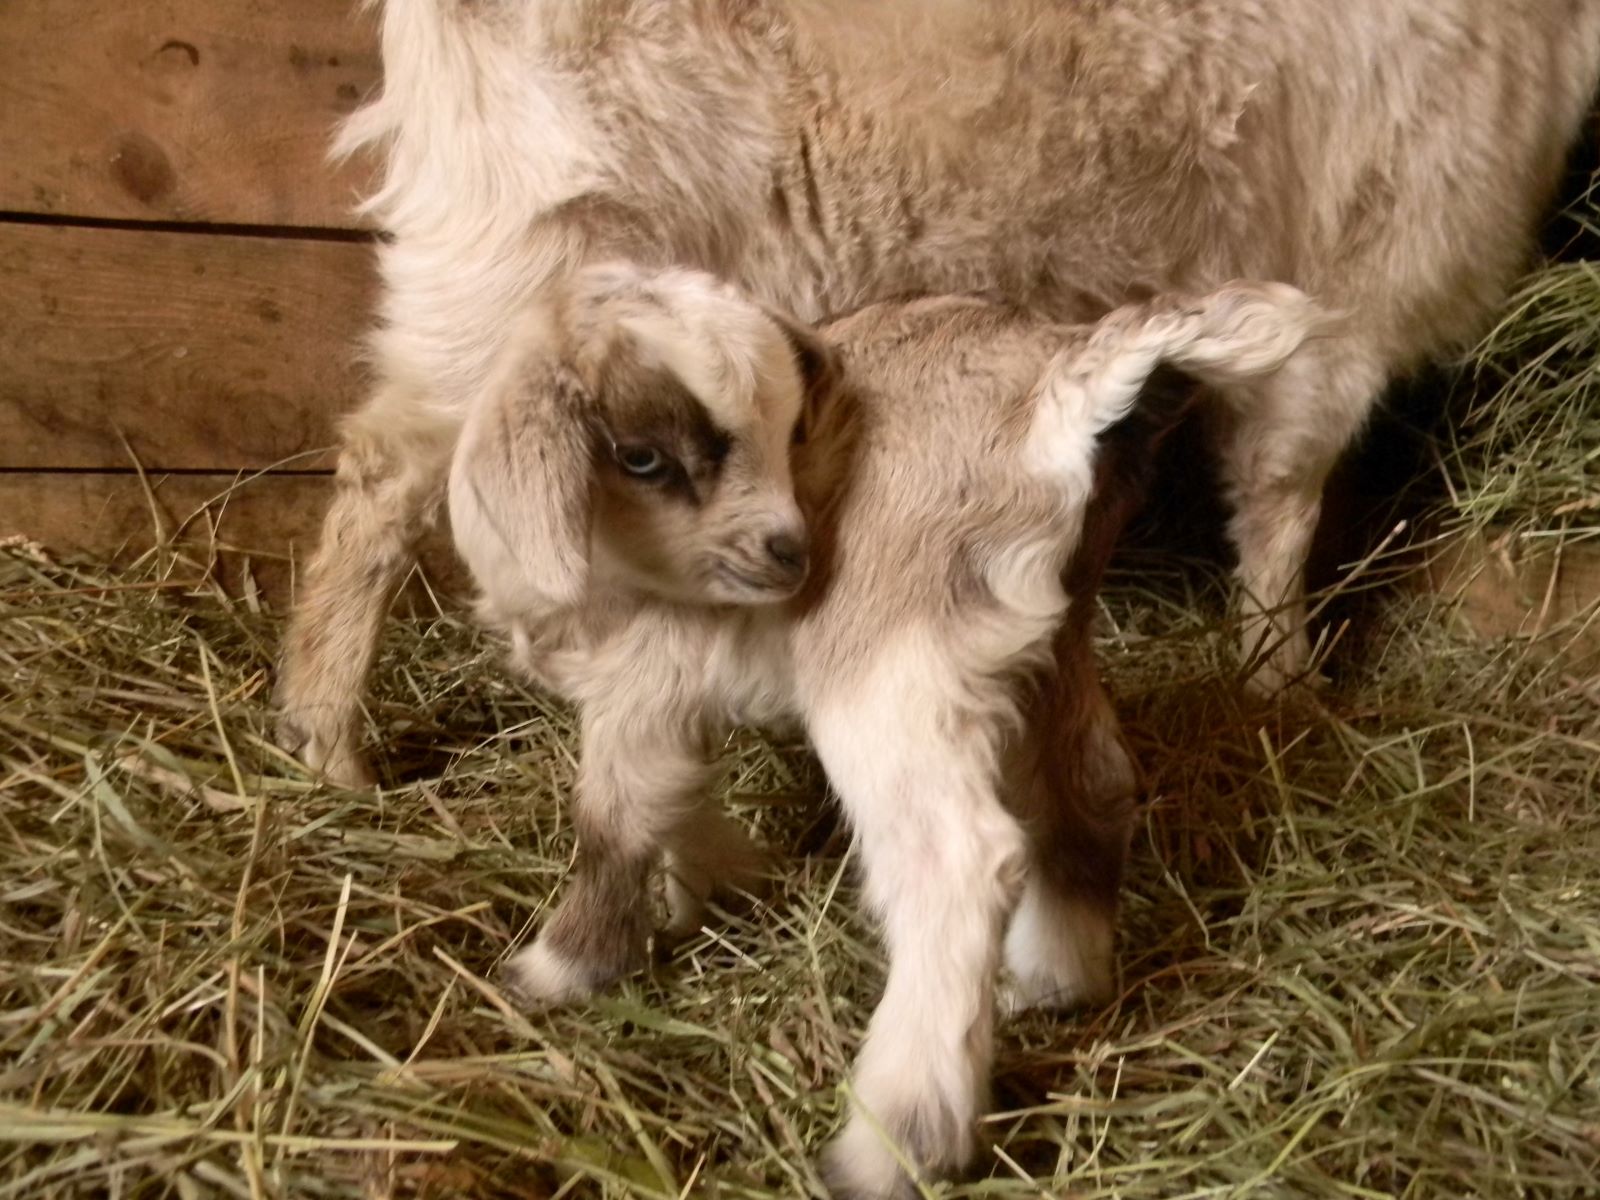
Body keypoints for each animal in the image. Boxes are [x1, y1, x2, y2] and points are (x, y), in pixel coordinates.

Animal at [275, 0, 1600, 788]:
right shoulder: (1343, 291)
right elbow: (1280, 503)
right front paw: (1281, 685)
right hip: (531, 256)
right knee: (391, 481)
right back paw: (332, 746)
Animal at [445, 266, 1328, 1196]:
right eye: (642, 455)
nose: (788, 555)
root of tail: (1062, 380)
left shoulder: (638, 688)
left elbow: (614, 825)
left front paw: (559, 968)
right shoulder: (663, 692)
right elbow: (674, 801)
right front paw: (722, 888)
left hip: (889, 664)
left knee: (959, 862)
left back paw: (896, 1138)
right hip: (1051, 638)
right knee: (1093, 784)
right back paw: (1055, 982)